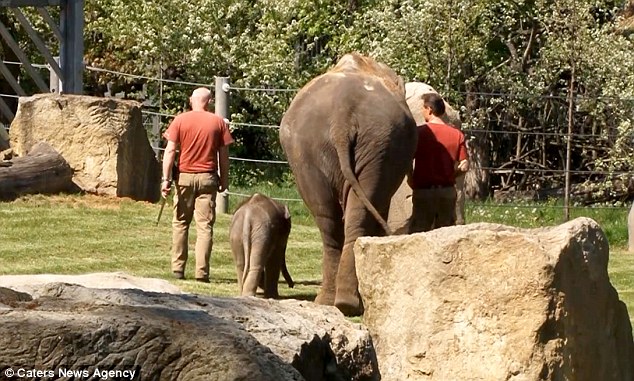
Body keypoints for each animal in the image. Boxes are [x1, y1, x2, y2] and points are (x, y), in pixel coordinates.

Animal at [278, 52, 414, 314]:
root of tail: (342, 119)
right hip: (378, 146)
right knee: (361, 213)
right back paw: (349, 304)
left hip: (309, 152)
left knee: (327, 220)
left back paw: (333, 302)